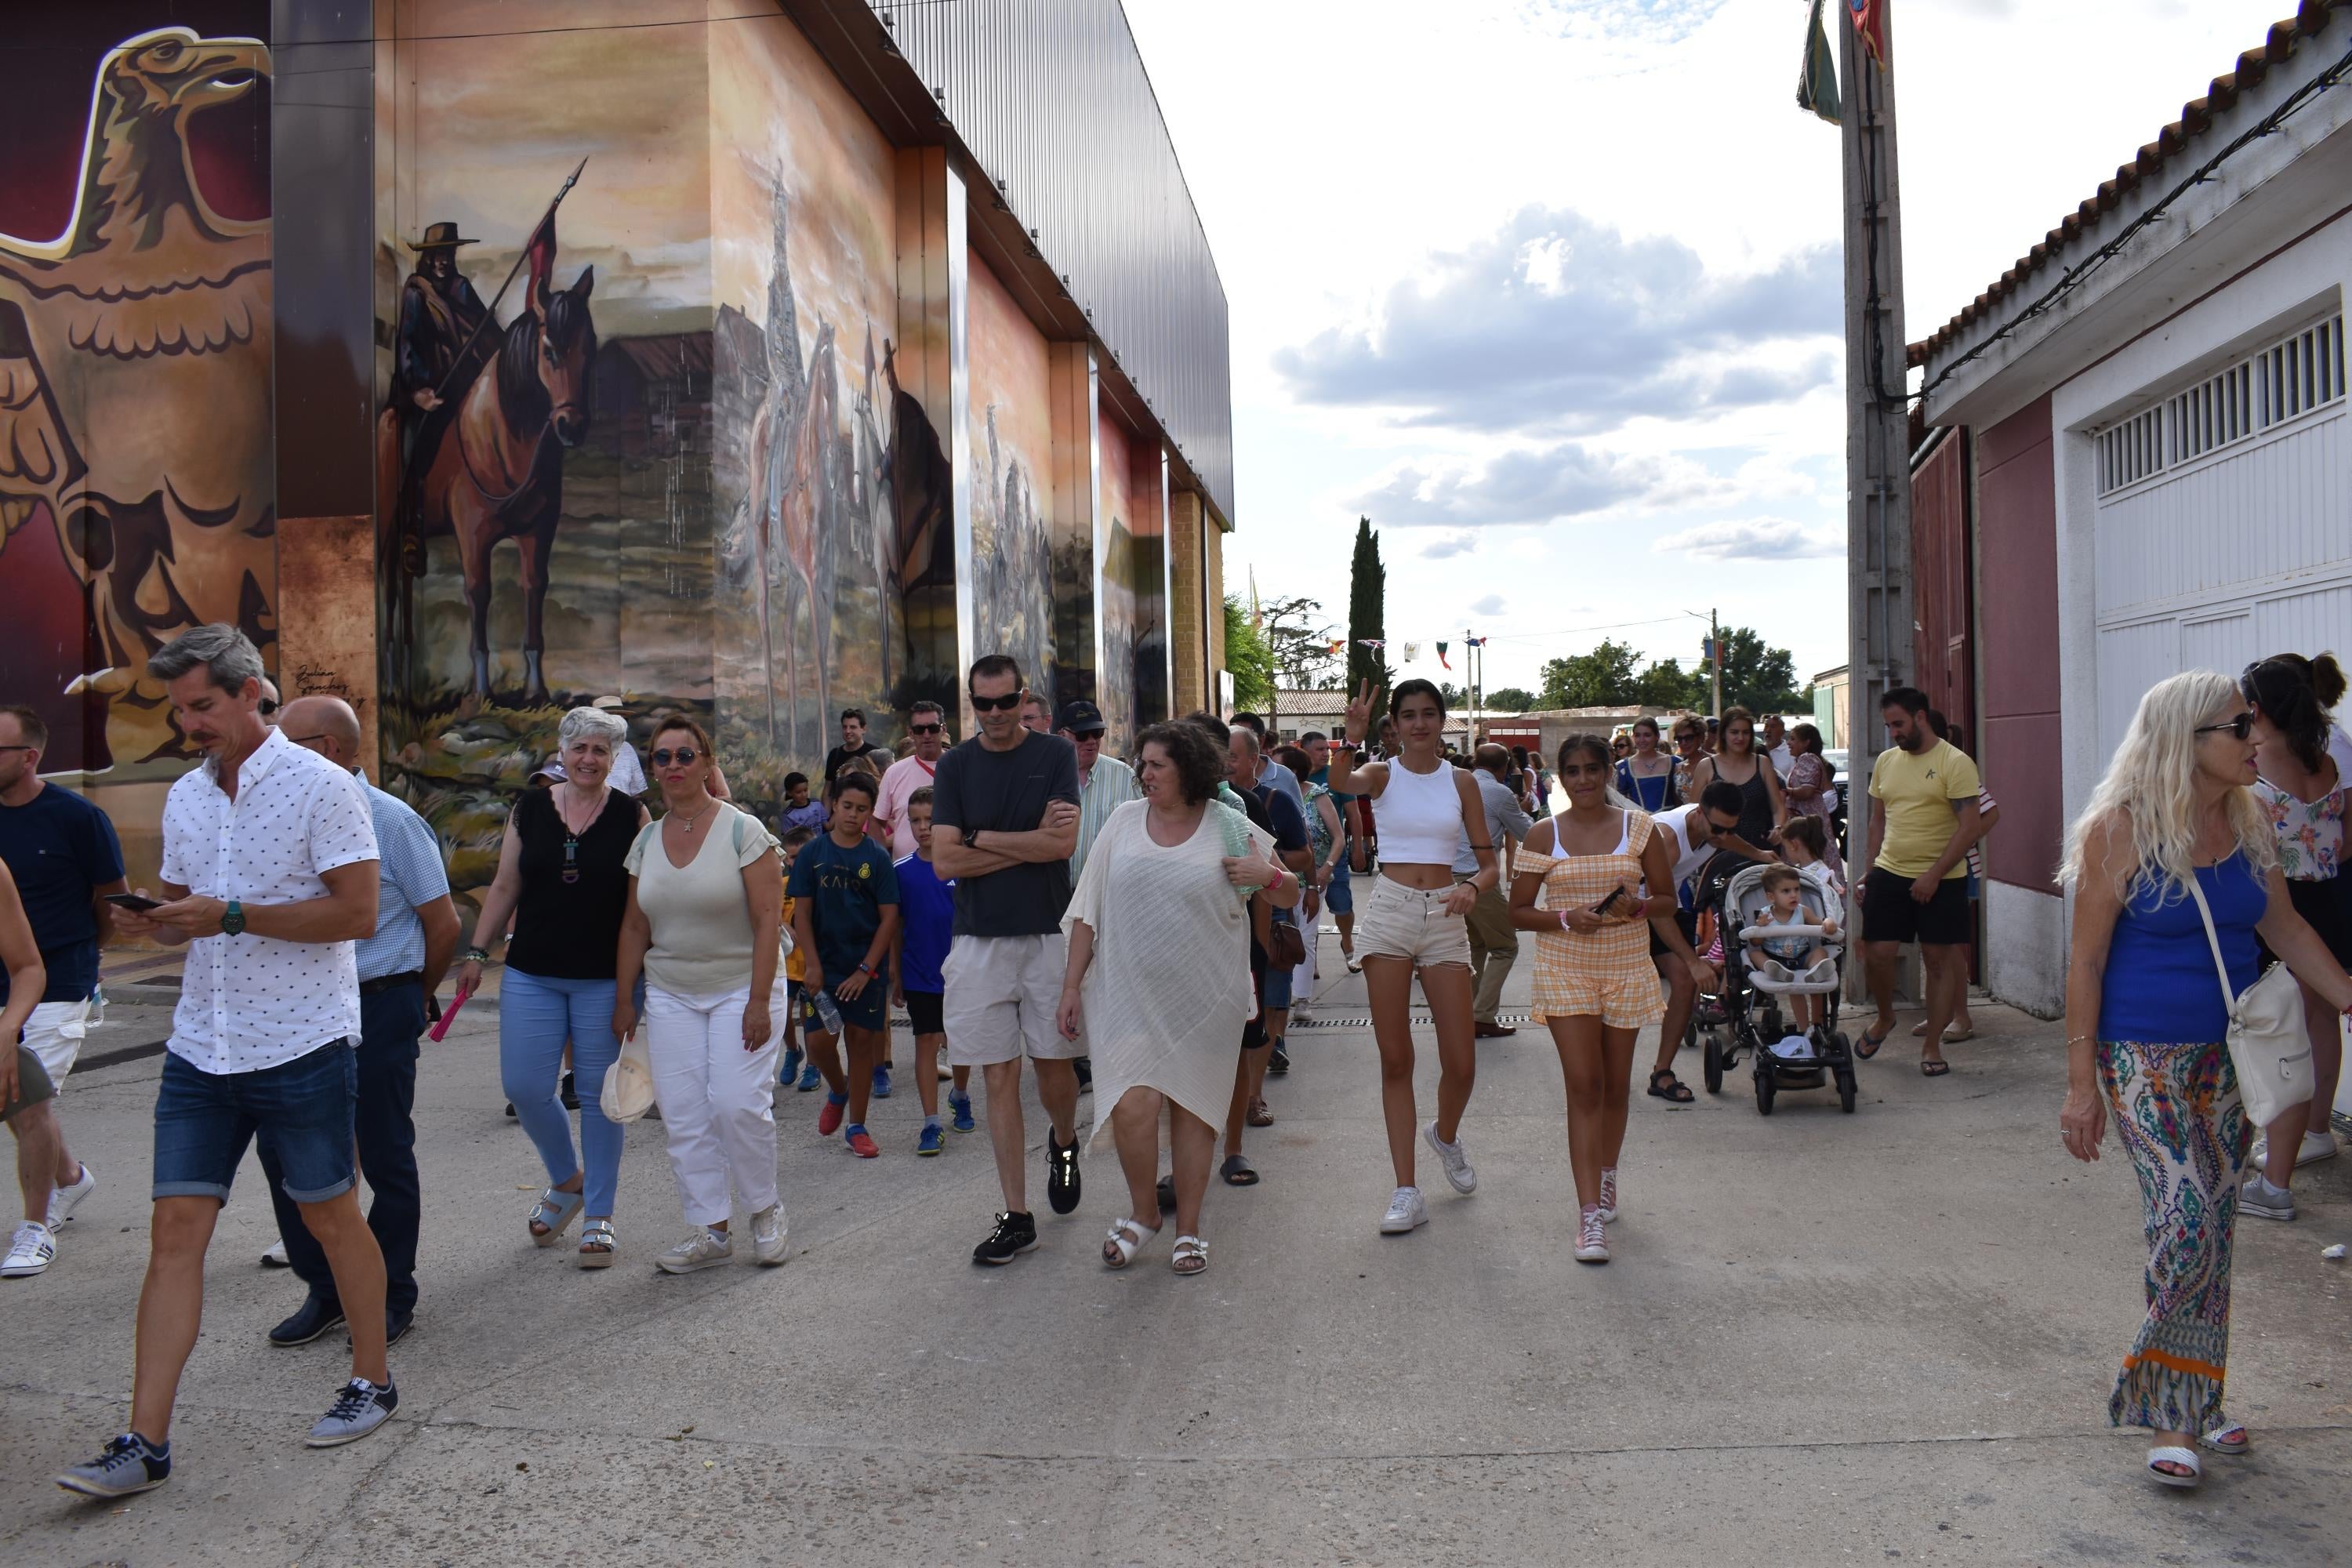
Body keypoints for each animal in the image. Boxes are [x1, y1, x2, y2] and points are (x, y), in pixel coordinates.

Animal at [379, 260, 593, 700]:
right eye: (549, 350)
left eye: (591, 347)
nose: (572, 427)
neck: (501, 440)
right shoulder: (473, 536)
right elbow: (479, 594)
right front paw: (480, 692)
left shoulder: (537, 532)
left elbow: (535, 587)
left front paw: (536, 690)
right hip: (389, 533)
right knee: (389, 595)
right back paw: (391, 684)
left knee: (404, 593)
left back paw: (407, 682)